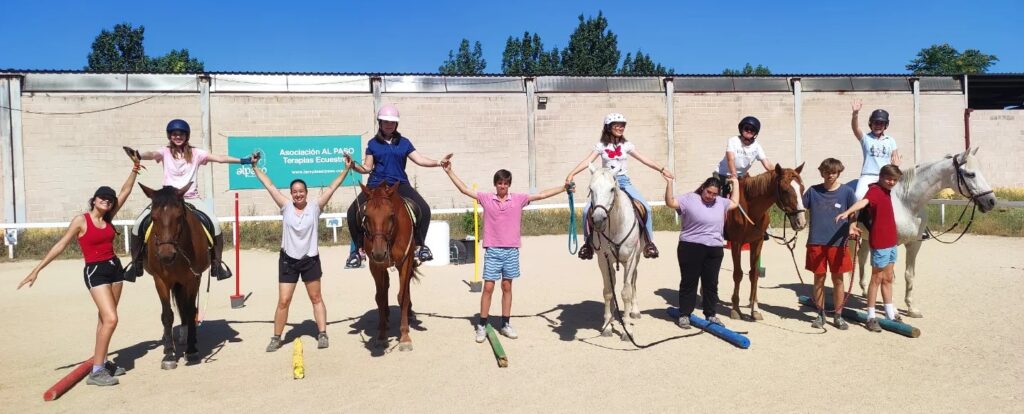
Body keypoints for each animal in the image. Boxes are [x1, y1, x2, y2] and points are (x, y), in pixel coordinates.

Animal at [139, 184, 208, 368]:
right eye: (153, 217)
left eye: (178, 216)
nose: (166, 255)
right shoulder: (160, 281)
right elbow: (167, 315)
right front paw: (169, 354)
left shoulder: (193, 279)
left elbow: (190, 311)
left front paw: (191, 351)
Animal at [360, 182, 419, 350]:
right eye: (366, 215)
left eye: (391, 215)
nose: (380, 253)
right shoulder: (375, 266)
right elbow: (380, 297)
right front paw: (381, 336)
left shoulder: (405, 262)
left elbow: (403, 296)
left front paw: (405, 336)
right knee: (384, 288)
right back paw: (385, 320)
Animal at [585, 166, 638, 340]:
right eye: (591, 189)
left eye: (612, 189)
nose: (598, 219)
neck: (615, 225)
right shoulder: (603, 260)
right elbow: (608, 292)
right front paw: (607, 326)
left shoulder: (630, 259)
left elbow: (626, 292)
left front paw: (627, 330)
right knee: (613, 283)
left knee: (633, 281)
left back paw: (635, 311)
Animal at [720, 164, 806, 319]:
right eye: (785, 190)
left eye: (802, 188)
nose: (801, 222)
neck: (750, 208)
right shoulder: (736, 243)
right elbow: (738, 274)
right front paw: (735, 308)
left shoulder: (757, 242)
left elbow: (754, 274)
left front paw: (755, 309)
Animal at [851, 146, 995, 317]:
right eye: (970, 174)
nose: (991, 201)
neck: (905, 203)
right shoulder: (890, 245)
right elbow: (889, 276)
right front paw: (893, 309)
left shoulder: (914, 244)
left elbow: (909, 275)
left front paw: (911, 308)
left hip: (867, 238)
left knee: (861, 258)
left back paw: (865, 291)